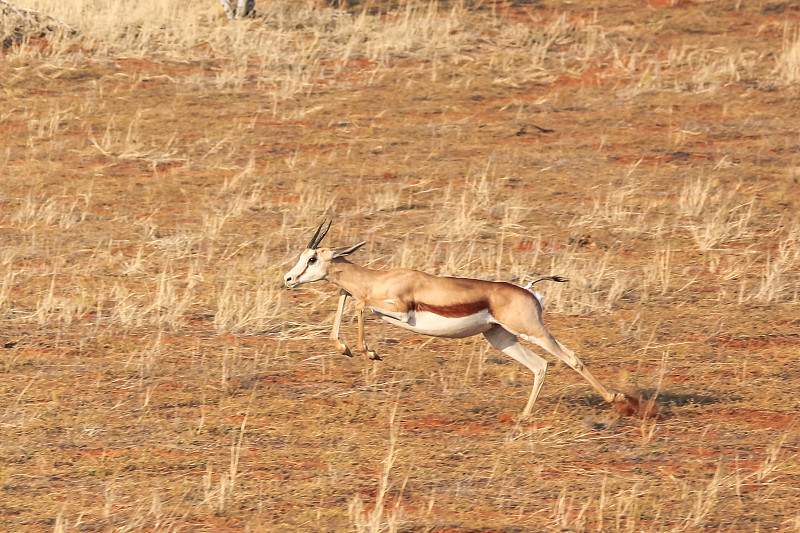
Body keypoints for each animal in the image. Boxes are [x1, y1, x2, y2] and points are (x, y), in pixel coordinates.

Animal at [282, 221, 636, 420]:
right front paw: (345, 348)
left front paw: (369, 352)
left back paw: (618, 401)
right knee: (540, 366)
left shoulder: (399, 310)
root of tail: (528, 290)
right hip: (501, 338)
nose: (288, 279)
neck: (380, 279)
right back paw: (523, 417)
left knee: (571, 357)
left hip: (531, 330)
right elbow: (347, 297)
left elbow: (358, 303)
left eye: (312, 258)